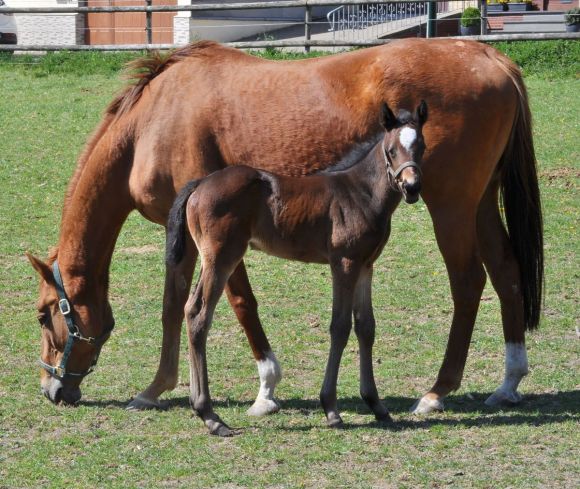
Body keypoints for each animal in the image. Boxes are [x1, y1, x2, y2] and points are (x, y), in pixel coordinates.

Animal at [165, 100, 428, 434]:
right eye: (392, 150)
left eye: (421, 146)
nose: (412, 186)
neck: (362, 193)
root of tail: (200, 183)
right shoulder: (344, 263)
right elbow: (340, 326)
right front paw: (331, 408)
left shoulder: (366, 265)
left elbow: (366, 326)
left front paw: (376, 405)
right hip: (221, 257)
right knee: (199, 313)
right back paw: (210, 416)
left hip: (213, 259)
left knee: (190, 309)